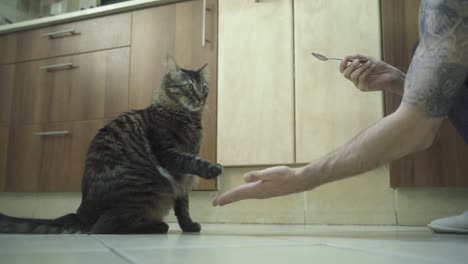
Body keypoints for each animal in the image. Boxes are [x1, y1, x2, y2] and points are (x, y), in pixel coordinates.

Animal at [0, 55, 223, 233]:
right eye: (188, 87)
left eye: (204, 88)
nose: (200, 98)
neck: (188, 119)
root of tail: (81, 213)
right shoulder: (169, 154)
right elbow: (192, 162)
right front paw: (214, 168)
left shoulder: (183, 180)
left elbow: (183, 207)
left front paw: (189, 227)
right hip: (143, 186)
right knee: (105, 227)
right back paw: (156, 227)